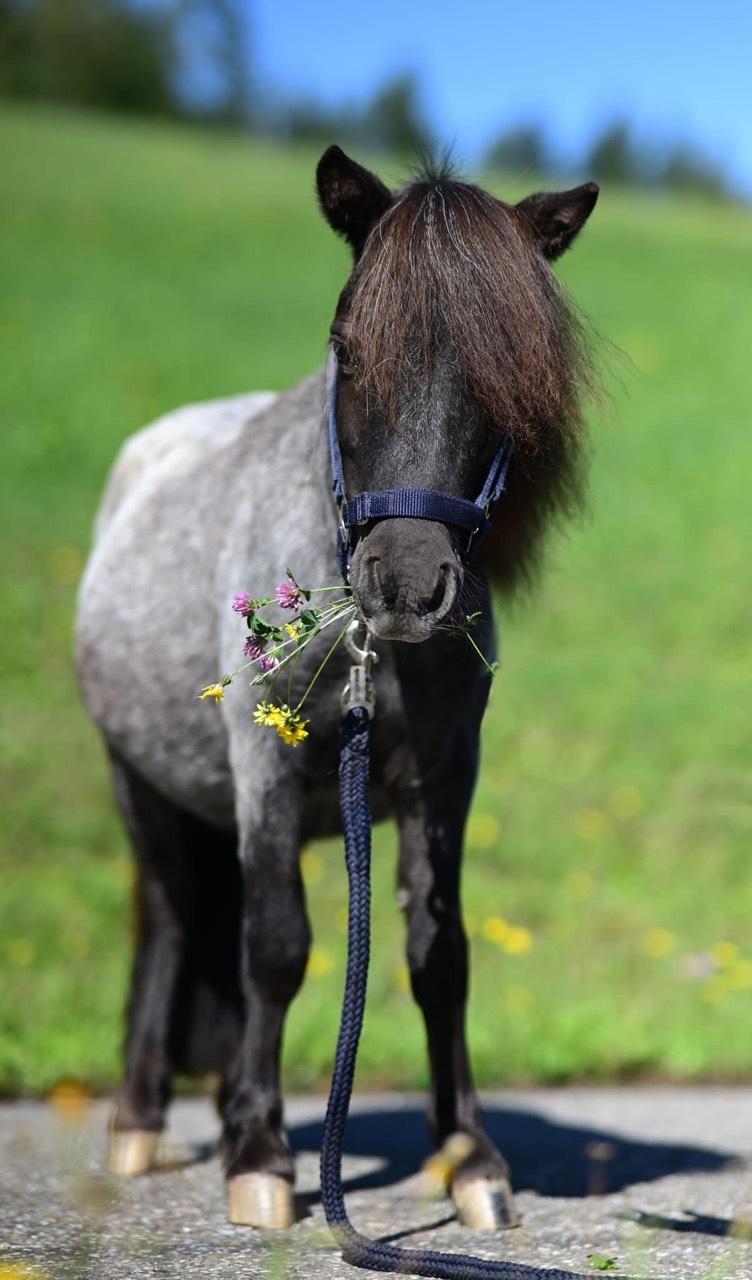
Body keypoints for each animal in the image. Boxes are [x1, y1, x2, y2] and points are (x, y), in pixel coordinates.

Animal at [76, 145, 598, 1233]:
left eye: (507, 375)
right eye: (348, 352)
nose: (402, 582)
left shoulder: (443, 780)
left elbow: (439, 955)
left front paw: (469, 1155)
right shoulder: (264, 768)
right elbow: (276, 947)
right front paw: (262, 1156)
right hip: (139, 783)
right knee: (172, 922)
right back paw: (141, 1118)